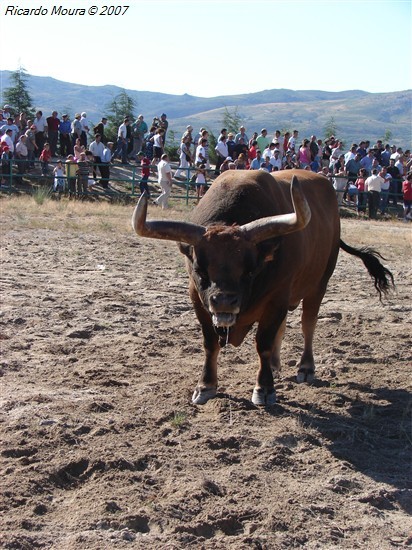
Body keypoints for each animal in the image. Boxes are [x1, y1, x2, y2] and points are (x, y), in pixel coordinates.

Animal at [131, 170, 392, 408]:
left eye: (250, 270)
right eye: (200, 269)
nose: (224, 302)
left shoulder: (277, 297)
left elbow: (263, 343)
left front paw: (264, 388)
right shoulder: (197, 298)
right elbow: (210, 344)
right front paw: (205, 386)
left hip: (319, 284)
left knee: (308, 324)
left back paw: (306, 367)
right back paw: (276, 365)